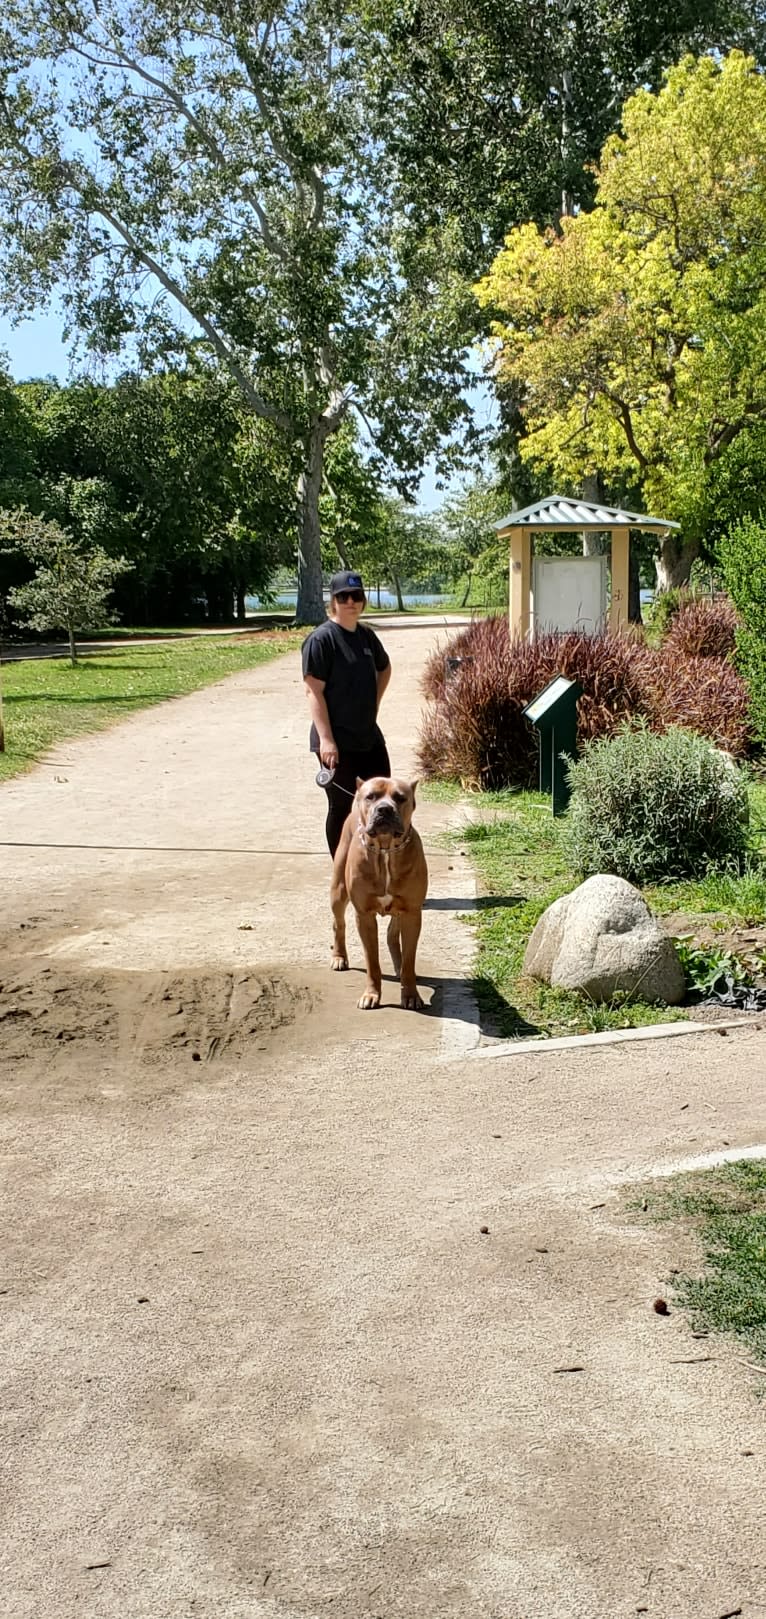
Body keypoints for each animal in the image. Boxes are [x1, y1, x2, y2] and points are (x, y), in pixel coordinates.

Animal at [330, 773, 430, 1010]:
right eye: (371, 796)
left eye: (400, 797)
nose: (384, 809)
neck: (385, 850)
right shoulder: (364, 915)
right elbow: (372, 962)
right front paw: (371, 995)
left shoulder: (413, 913)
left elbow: (409, 962)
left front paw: (411, 995)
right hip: (338, 892)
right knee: (338, 923)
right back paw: (339, 957)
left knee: (393, 933)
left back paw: (398, 964)